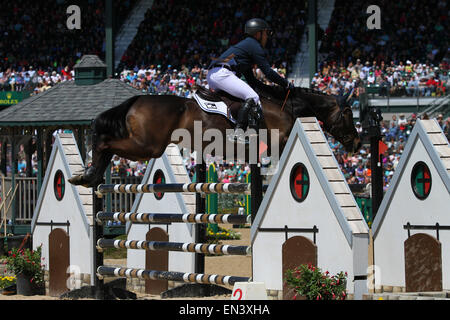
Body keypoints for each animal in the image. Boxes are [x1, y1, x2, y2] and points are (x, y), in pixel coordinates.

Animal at [67, 84, 362, 188]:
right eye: (349, 113)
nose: (358, 143)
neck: (286, 106)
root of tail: (137, 99)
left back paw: (87, 176)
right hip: (147, 146)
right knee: (105, 143)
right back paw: (88, 173)